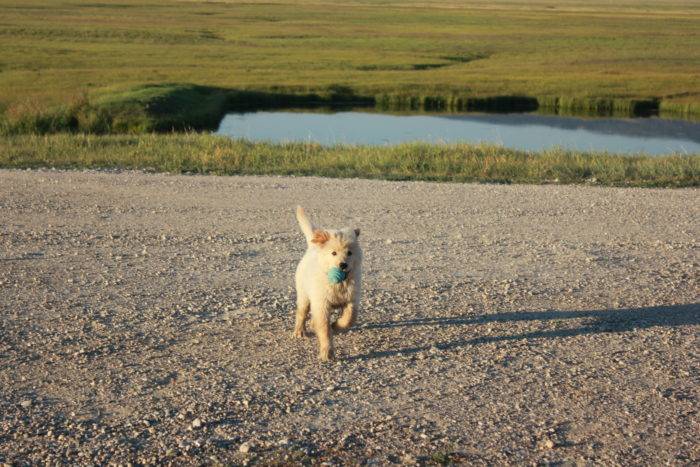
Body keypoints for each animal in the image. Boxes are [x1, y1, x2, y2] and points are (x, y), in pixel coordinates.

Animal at [292, 207, 364, 364]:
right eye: (334, 253)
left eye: (349, 252)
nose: (343, 265)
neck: (339, 283)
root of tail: (312, 248)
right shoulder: (322, 303)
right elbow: (324, 329)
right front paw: (327, 353)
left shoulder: (351, 299)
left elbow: (349, 318)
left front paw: (336, 325)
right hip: (304, 294)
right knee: (302, 312)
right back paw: (299, 331)